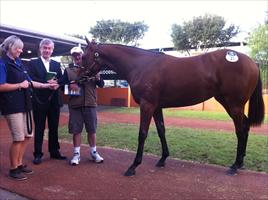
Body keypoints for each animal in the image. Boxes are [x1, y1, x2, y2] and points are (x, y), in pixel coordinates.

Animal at [81, 39, 264, 177]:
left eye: (83, 57)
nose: (80, 76)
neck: (140, 64)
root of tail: (252, 62)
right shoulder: (156, 107)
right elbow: (161, 130)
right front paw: (163, 159)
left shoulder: (147, 105)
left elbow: (142, 134)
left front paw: (133, 166)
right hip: (229, 103)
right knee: (245, 126)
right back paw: (240, 162)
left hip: (234, 104)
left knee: (240, 130)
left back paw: (235, 165)